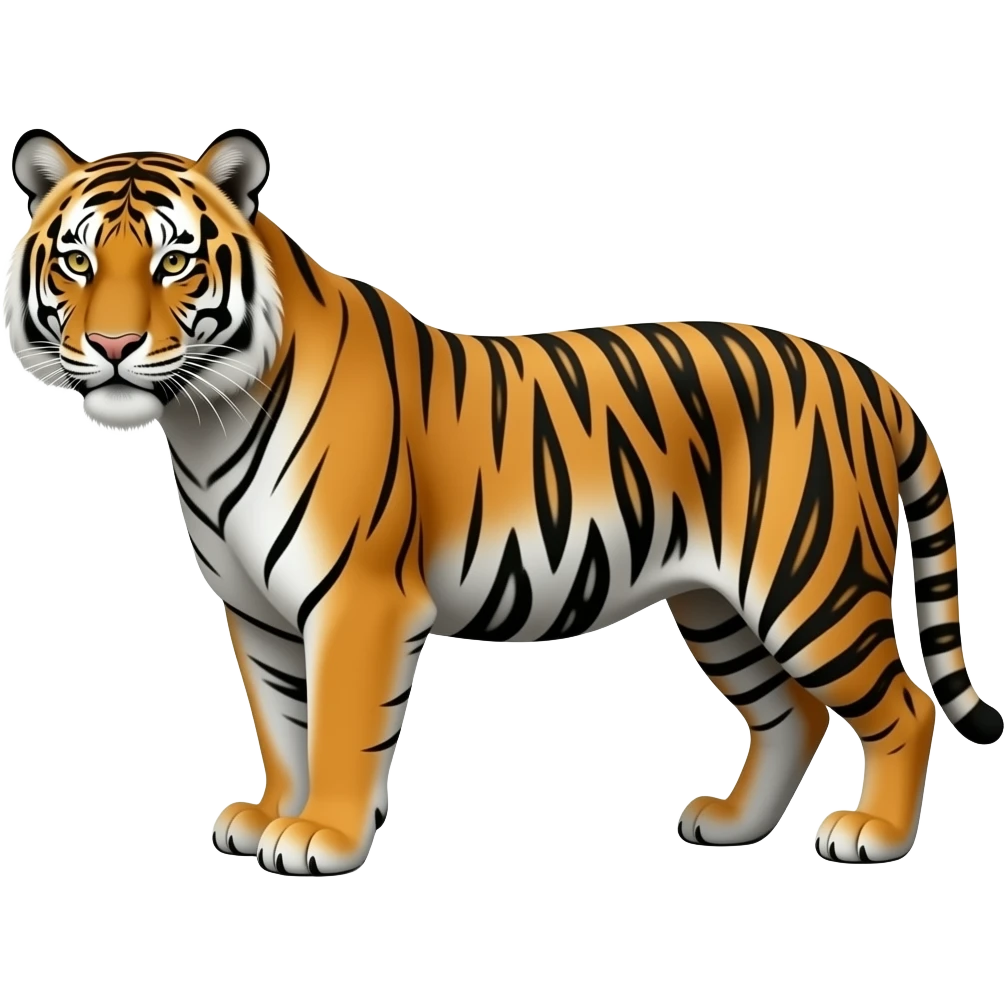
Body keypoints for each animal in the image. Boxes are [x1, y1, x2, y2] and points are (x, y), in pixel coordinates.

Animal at [4, 126, 998, 877]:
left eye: (174, 261)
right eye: (76, 261)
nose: (114, 346)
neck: (203, 420)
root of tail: (865, 376)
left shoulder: (360, 599)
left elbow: (339, 726)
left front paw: (322, 835)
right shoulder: (256, 612)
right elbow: (283, 722)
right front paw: (269, 815)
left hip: (807, 584)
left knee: (903, 705)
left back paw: (873, 836)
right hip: (717, 605)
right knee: (790, 713)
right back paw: (730, 824)